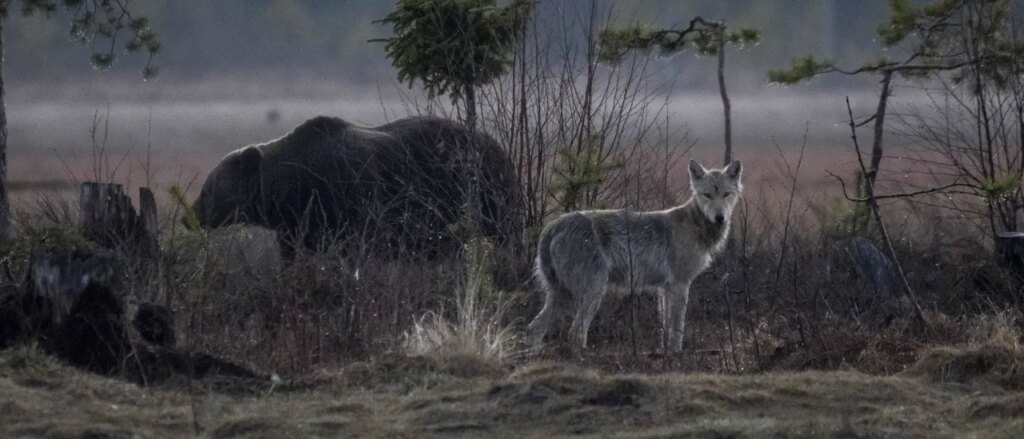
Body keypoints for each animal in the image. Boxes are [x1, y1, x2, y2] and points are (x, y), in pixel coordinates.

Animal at [190, 115, 520, 259]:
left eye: (208, 188)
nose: (192, 213)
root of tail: (498, 146)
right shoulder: (295, 224)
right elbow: (294, 254)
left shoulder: (341, 201)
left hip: (480, 192)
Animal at [528, 159, 742, 353]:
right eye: (707, 195)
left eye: (726, 194)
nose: (720, 217)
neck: (696, 225)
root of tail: (553, 226)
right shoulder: (680, 285)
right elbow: (676, 330)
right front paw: (676, 355)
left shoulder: (665, 288)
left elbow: (665, 328)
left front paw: (664, 354)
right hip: (593, 293)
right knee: (575, 333)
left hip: (562, 295)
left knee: (535, 327)